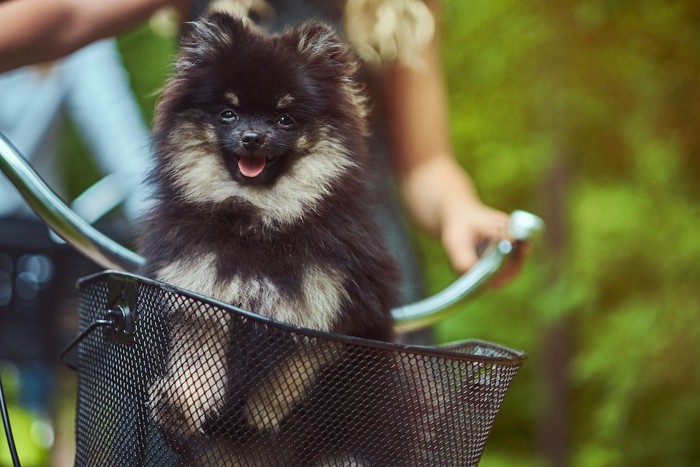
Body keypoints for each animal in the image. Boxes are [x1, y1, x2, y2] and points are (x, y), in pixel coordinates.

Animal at [140, 12, 408, 466]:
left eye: (285, 118)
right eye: (228, 113)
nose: (252, 137)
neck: (260, 222)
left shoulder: (344, 304)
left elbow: (304, 357)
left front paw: (263, 410)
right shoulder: (199, 287)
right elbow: (196, 354)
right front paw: (180, 405)